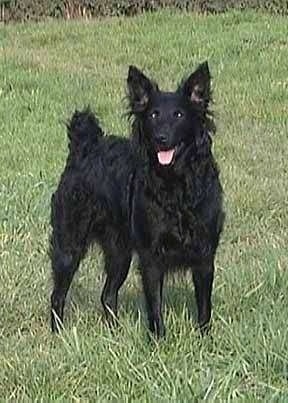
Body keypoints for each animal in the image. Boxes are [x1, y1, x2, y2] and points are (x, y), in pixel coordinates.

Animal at [50, 60, 225, 338]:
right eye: (153, 115)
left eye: (179, 115)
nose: (161, 138)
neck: (175, 186)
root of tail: (84, 147)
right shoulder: (151, 258)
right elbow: (155, 306)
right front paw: (158, 341)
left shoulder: (205, 256)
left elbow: (204, 308)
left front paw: (205, 340)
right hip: (69, 244)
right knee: (58, 295)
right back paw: (59, 334)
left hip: (119, 253)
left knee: (107, 295)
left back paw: (114, 333)